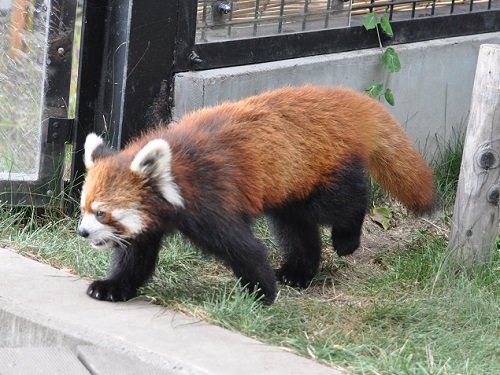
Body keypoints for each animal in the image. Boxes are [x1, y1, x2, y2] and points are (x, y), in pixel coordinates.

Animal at [78, 86, 438, 304]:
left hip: (323, 172)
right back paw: (299, 271)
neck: (175, 177)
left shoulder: (211, 199)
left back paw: (347, 238)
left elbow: (244, 248)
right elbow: (135, 257)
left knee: (345, 201)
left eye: (101, 213)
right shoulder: (151, 222)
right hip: (290, 186)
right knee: (296, 228)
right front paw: (113, 286)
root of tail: (341, 100)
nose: (82, 232)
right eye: (84, 208)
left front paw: (261, 293)